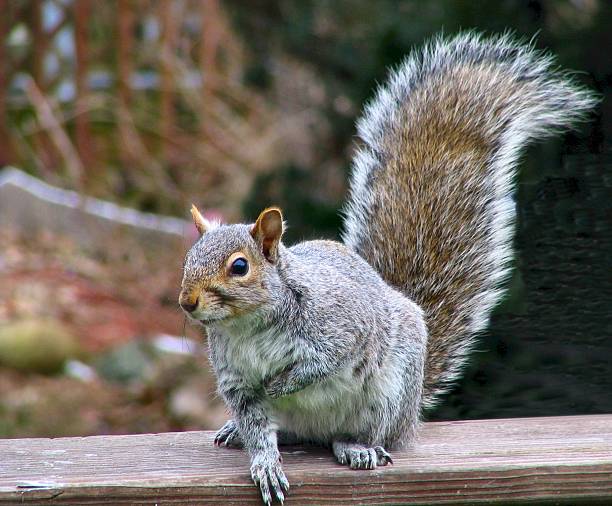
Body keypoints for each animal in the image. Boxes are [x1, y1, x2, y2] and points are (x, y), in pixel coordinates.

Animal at [179, 32, 596, 506]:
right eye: (188, 259)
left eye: (240, 266)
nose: (187, 302)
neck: (248, 327)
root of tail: (409, 415)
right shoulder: (236, 382)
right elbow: (256, 424)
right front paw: (264, 463)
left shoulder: (341, 328)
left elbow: (320, 363)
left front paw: (281, 385)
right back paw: (238, 432)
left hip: (388, 393)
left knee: (365, 433)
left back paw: (356, 447)